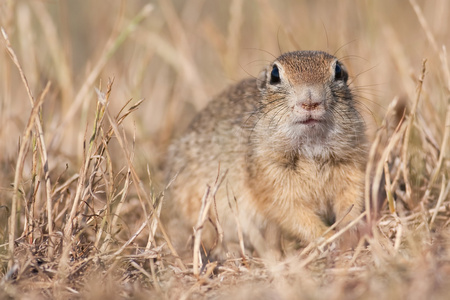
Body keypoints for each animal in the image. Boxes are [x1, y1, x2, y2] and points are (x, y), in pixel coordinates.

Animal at [164, 50, 366, 256]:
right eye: (275, 75)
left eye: (338, 70)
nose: (310, 102)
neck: (311, 148)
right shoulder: (271, 182)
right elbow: (293, 214)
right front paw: (327, 238)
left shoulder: (352, 168)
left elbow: (351, 200)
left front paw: (351, 230)